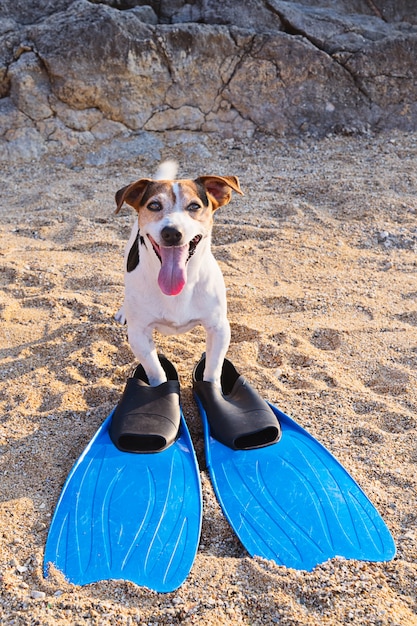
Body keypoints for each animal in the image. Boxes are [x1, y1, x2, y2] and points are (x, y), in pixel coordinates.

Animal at [115, 161, 242, 386]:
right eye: (154, 205)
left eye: (194, 206)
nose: (172, 232)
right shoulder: (139, 334)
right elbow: (156, 372)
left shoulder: (219, 328)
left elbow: (212, 370)